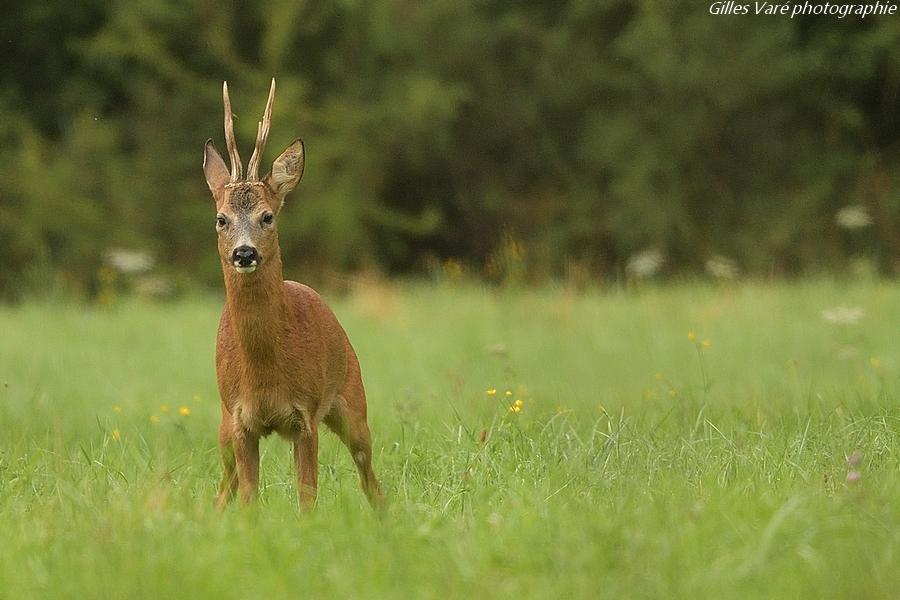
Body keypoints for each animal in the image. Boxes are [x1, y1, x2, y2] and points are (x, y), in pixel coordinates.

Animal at [204, 78, 384, 510]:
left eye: (267, 216)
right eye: (221, 219)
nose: (245, 253)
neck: (265, 373)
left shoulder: (305, 416)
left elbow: (307, 498)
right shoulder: (240, 421)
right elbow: (249, 498)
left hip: (353, 399)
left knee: (368, 472)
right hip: (222, 424)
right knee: (224, 487)